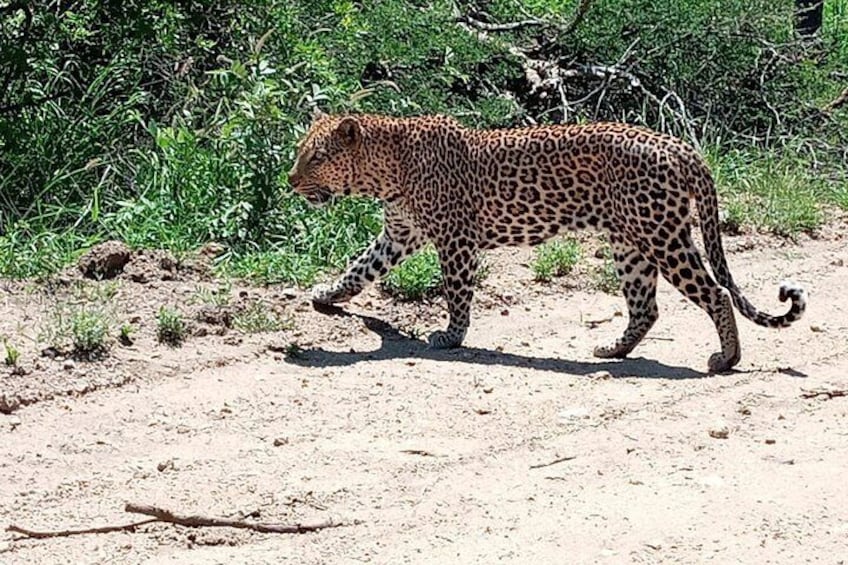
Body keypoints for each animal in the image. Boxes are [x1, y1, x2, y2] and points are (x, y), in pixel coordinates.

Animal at [286, 111, 808, 374]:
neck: (386, 170)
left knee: (715, 293)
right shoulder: (398, 234)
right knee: (646, 306)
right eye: (300, 152)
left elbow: (456, 293)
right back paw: (613, 350)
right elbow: (359, 267)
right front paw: (327, 296)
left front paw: (452, 337)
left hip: (662, 236)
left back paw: (726, 359)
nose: (290, 181)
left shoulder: (456, 239)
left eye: (316, 157)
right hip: (630, 242)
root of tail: (683, 147)